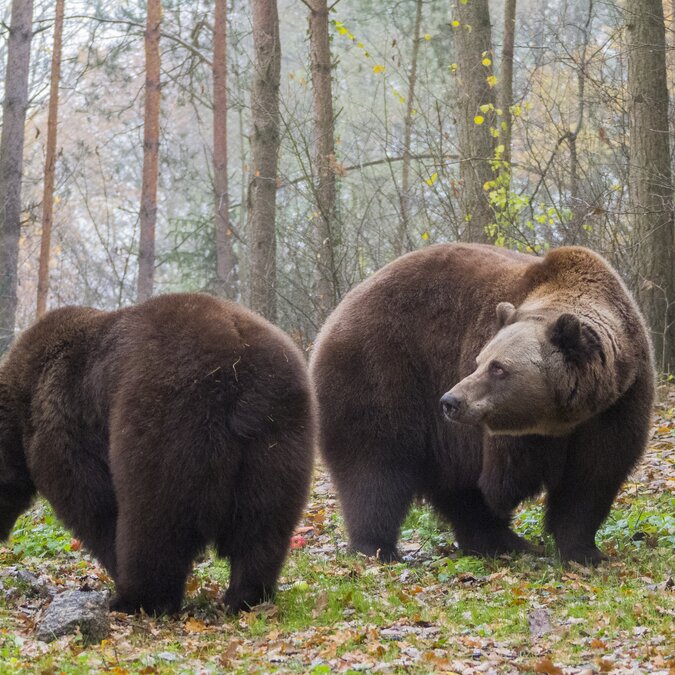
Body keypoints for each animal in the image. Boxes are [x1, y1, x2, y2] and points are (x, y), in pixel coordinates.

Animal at [0, 294, 316, 616]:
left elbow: (94, 505)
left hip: (169, 417)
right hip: (278, 432)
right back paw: (246, 595)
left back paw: (137, 598)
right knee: (263, 523)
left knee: (155, 519)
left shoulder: (64, 422)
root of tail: (239, 362)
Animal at [312, 243, 656, 564]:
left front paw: (584, 551)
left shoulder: (617, 404)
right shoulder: (505, 434)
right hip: (381, 370)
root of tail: (334, 316)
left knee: (455, 489)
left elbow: (592, 477)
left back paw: (503, 542)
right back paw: (376, 547)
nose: (450, 401)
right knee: (375, 465)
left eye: (498, 368)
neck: (561, 419)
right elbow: (500, 482)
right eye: (479, 361)